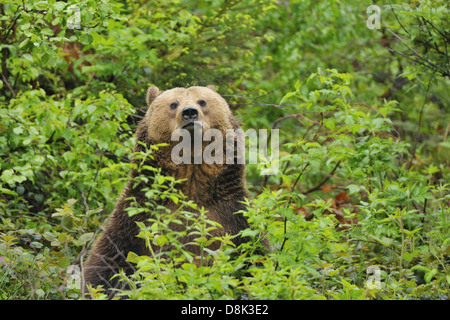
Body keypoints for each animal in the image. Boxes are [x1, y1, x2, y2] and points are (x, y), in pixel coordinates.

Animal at [83, 85, 268, 298]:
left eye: (202, 101)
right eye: (173, 104)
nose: (189, 113)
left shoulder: (234, 216)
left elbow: (256, 259)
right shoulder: (134, 219)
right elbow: (107, 265)